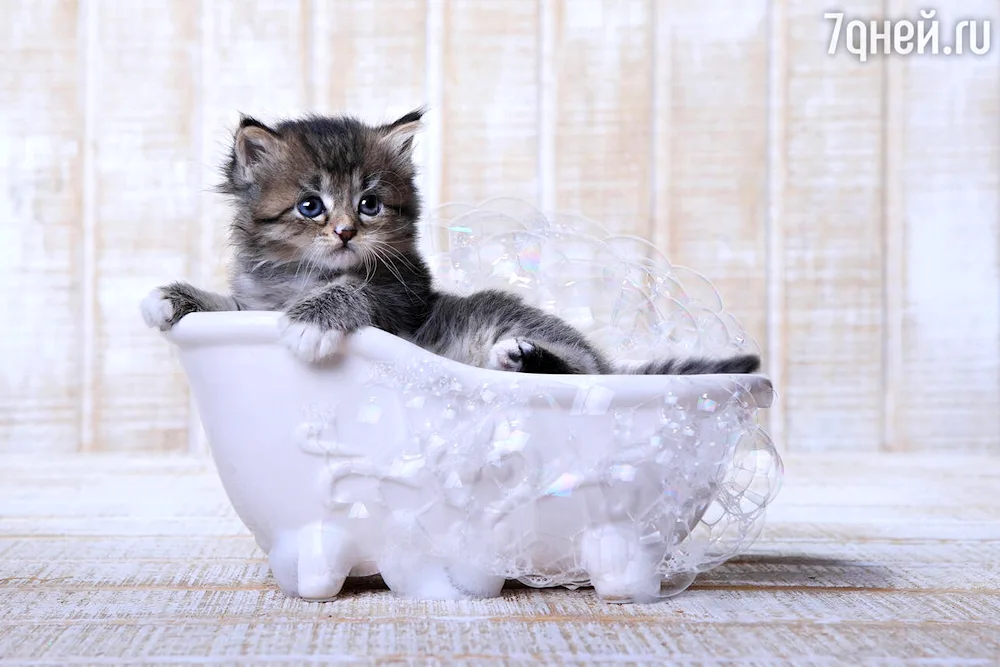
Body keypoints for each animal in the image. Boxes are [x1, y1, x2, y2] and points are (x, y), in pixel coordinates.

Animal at [141, 109, 760, 376]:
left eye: (369, 204)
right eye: (310, 205)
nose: (344, 231)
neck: (302, 276)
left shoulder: (399, 301)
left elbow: (356, 294)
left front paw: (312, 320)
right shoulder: (253, 300)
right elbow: (228, 305)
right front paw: (173, 297)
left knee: (582, 370)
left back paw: (522, 356)